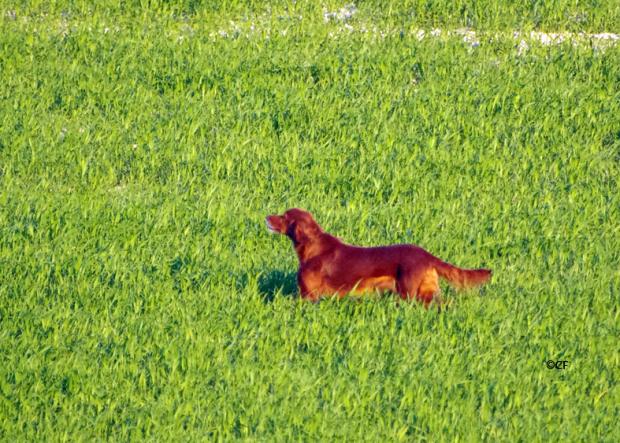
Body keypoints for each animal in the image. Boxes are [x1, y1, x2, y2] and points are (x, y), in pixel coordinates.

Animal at [266, 208, 490, 306]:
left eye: (284, 216)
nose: (267, 216)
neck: (313, 247)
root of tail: (426, 254)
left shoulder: (308, 295)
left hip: (408, 293)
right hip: (426, 292)